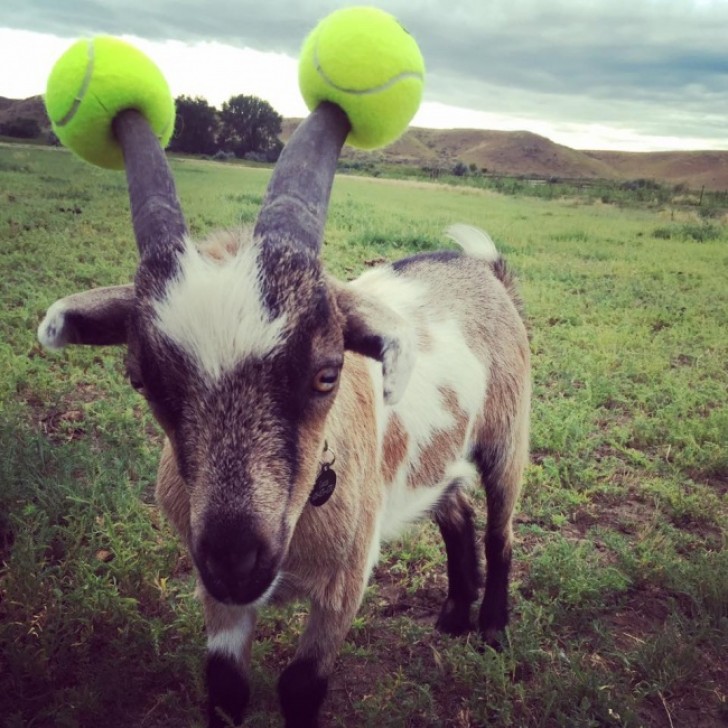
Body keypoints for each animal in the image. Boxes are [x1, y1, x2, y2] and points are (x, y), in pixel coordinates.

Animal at [37, 104, 528, 728]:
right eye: (141, 380)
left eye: (327, 373)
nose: (237, 559)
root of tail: (484, 269)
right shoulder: (216, 594)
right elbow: (225, 686)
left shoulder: (346, 581)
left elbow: (300, 685)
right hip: (433, 457)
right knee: (456, 513)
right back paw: (453, 616)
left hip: (508, 434)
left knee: (499, 531)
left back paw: (491, 629)